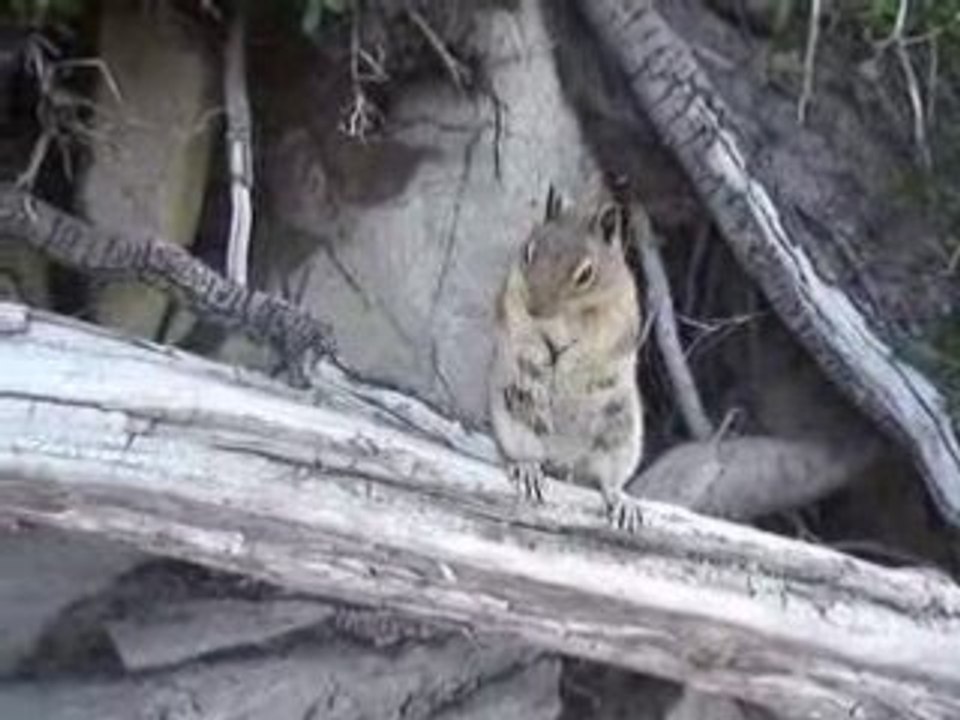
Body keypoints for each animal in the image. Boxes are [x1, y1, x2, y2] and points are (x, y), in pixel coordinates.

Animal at [488, 180, 646, 532]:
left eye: (585, 273)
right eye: (529, 251)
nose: (536, 308)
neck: (565, 314)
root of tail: (564, 461)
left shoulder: (618, 317)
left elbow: (594, 344)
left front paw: (571, 362)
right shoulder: (514, 295)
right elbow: (519, 326)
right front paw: (541, 352)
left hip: (620, 433)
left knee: (608, 480)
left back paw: (621, 501)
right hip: (518, 415)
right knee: (528, 453)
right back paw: (529, 470)